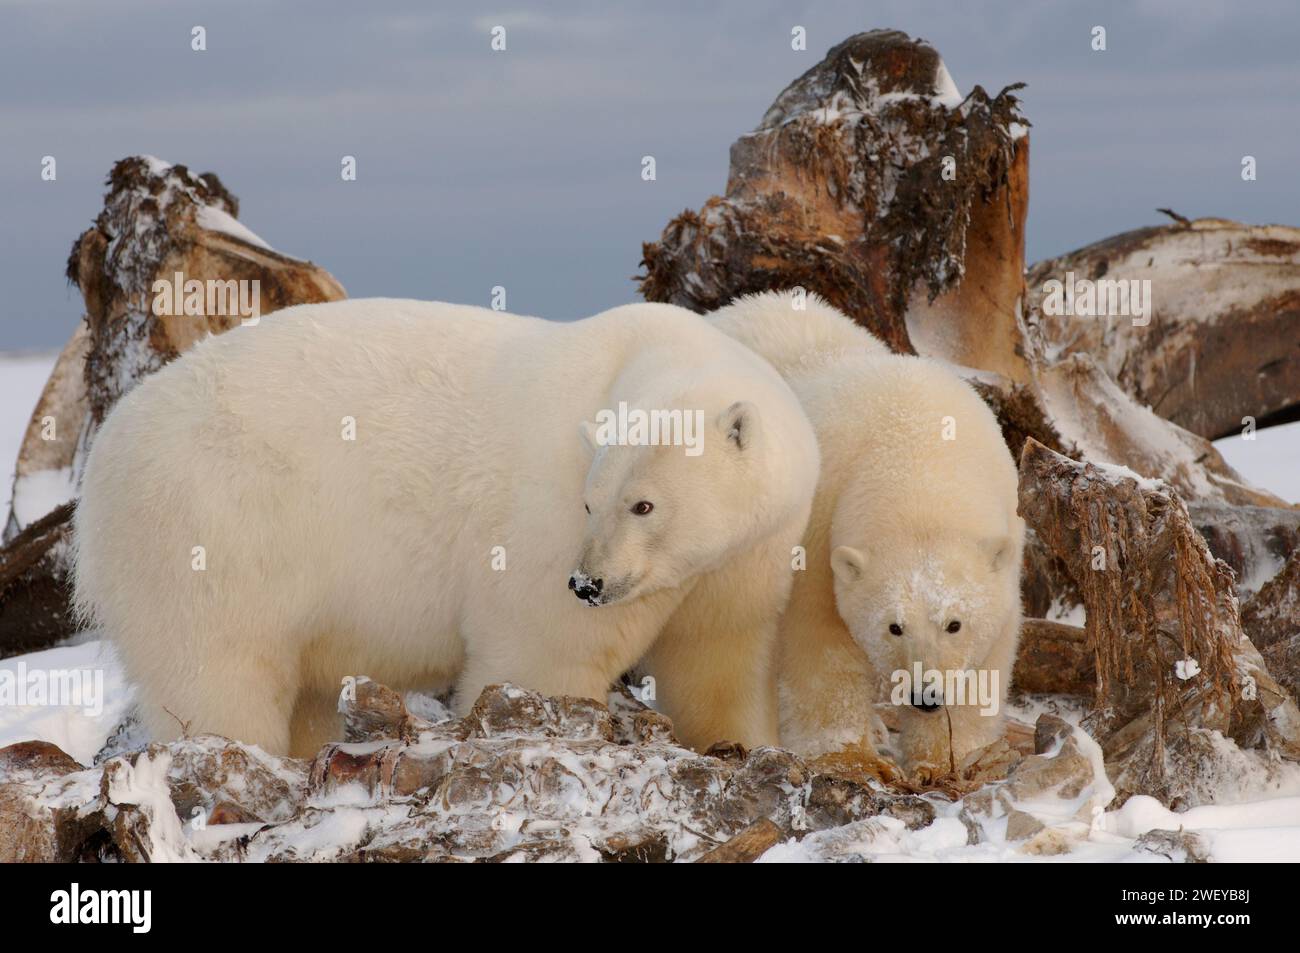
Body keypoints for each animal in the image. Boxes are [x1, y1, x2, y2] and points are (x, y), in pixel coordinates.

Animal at [71, 293, 816, 754]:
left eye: (644, 504)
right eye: (589, 501)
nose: (587, 583)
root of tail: (103, 459)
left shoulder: (749, 553)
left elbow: (719, 655)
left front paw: (746, 743)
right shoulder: (539, 526)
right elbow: (544, 651)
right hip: (209, 529)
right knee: (221, 670)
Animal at [712, 291, 1024, 780]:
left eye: (954, 623)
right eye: (893, 626)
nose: (925, 696)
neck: (916, 451)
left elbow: (987, 660)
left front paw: (948, 760)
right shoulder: (820, 526)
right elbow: (819, 640)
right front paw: (851, 757)